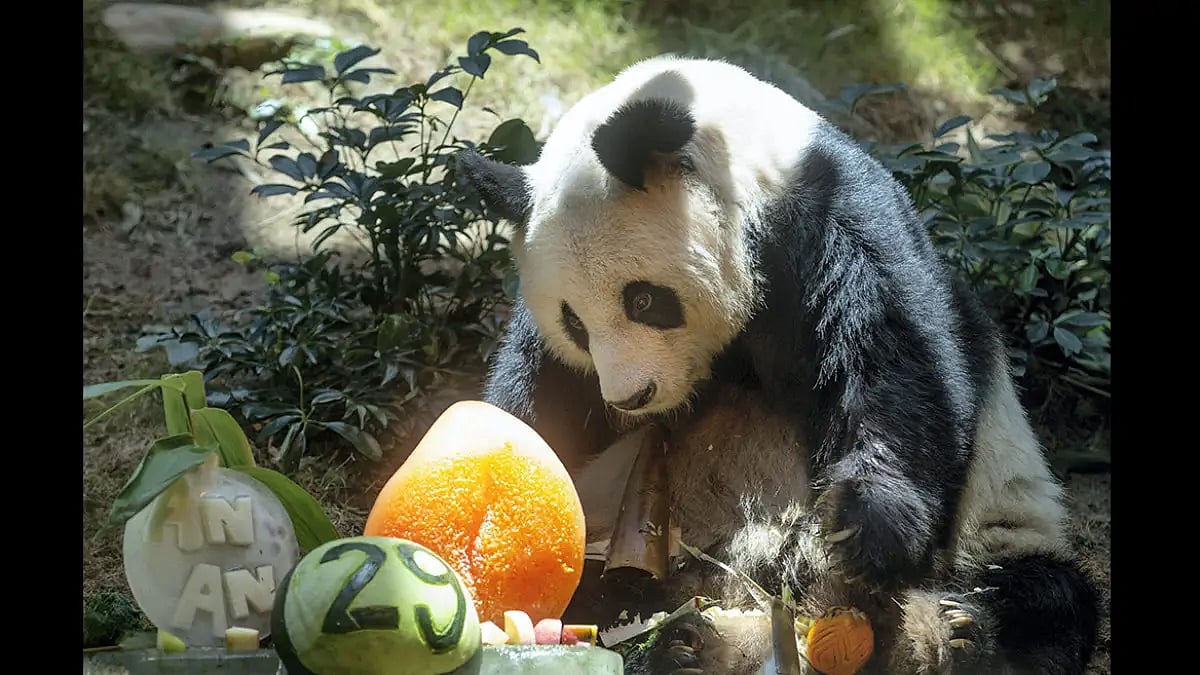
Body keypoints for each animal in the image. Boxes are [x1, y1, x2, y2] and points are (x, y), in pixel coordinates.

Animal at [457, 56, 1099, 675]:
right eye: (575, 323)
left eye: (643, 300)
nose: (630, 398)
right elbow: (535, 398)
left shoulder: (835, 224)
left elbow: (897, 365)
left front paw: (862, 529)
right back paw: (685, 645)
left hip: (1000, 526)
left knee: (1044, 597)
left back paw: (950, 632)